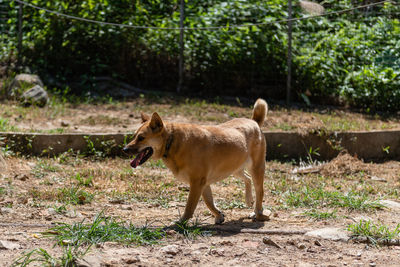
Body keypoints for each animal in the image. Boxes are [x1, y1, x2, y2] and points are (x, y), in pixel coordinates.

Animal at [123, 98, 270, 224]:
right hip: (235, 168)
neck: (172, 141)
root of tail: (254, 122)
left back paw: (257, 212)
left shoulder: (197, 182)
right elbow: (209, 202)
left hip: (256, 169)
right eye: (134, 136)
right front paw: (219, 215)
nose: (124, 149)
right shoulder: (203, 184)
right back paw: (249, 200)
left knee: (259, 191)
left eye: (141, 138)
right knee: (247, 178)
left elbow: (190, 207)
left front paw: (181, 222)